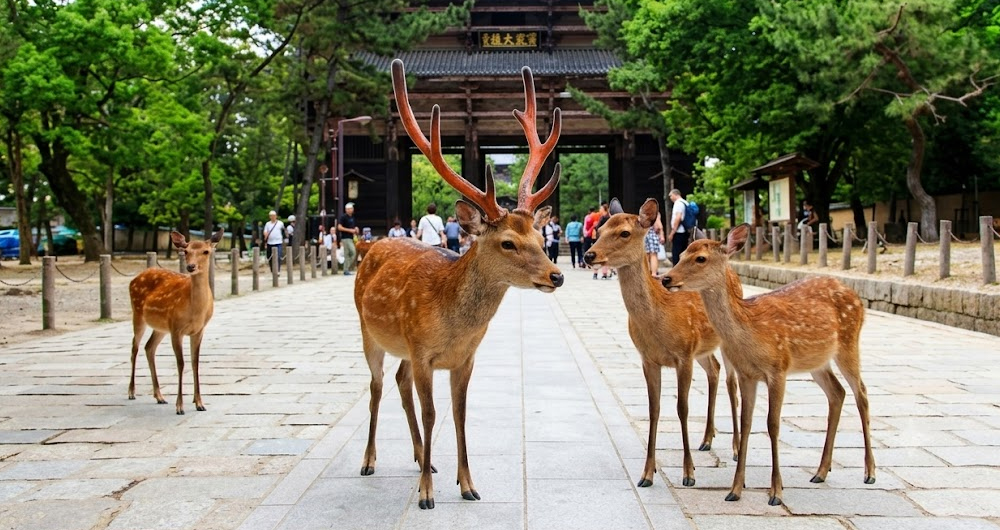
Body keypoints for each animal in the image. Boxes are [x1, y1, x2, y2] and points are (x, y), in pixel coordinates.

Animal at [128, 229, 224, 415]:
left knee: (149, 347)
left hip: (160, 327)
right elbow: (181, 363)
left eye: (206, 251)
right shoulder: (176, 329)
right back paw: (131, 392)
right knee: (134, 348)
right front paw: (180, 406)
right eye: (185, 251)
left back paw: (159, 396)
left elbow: (195, 362)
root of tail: (133, 279)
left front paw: (199, 402)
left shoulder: (199, 330)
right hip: (138, 313)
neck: (196, 311)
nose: (191, 267)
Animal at [353, 58, 564, 510]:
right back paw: (370, 461)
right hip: (369, 333)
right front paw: (426, 497)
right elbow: (433, 413)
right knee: (376, 386)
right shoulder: (423, 352)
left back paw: (423, 459)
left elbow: (460, 413)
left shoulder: (464, 357)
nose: (556, 275)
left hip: (402, 349)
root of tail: (373, 246)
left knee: (399, 383)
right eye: (508, 242)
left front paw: (467, 485)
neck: (452, 322)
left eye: (540, 238)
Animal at [583, 198, 740, 489]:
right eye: (599, 230)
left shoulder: (683, 355)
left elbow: (682, 408)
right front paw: (647, 473)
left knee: (731, 382)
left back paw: (735, 448)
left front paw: (689, 473)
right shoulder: (648, 358)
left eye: (624, 233)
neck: (660, 318)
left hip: (726, 341)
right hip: (703, 349)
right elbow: (653, 409)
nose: (589, 255)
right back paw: (706, 440)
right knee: (714, 370)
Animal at [660, 224, 876, 506]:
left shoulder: (778, 368)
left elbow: (773, 425)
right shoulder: (747, 374)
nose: (665, 278)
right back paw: (820, 472)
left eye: (700, 258)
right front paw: (735, 490)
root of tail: (858, 298)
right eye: (683, 252)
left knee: (861, 392)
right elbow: (746, 422)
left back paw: (869, 473)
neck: (751, 330)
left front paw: (776, 493)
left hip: (849, 343)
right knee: (837, 393)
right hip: (816, 362)